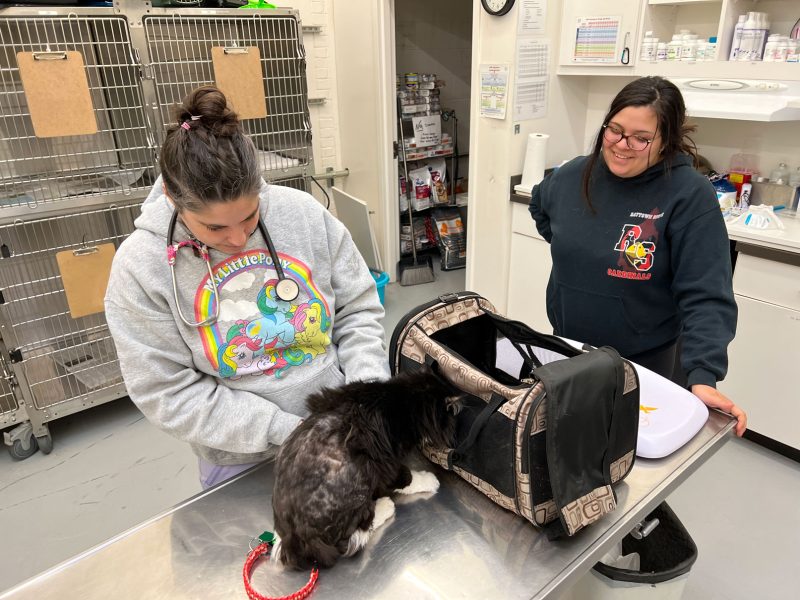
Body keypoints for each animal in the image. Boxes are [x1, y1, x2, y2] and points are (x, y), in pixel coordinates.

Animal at [270, 368, 460, 568]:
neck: (403, 399)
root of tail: (297, 535)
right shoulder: (386, 461)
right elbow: (406, 477)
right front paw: (429, 481)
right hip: (361, 475)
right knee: (353, 536)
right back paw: (385, 506)